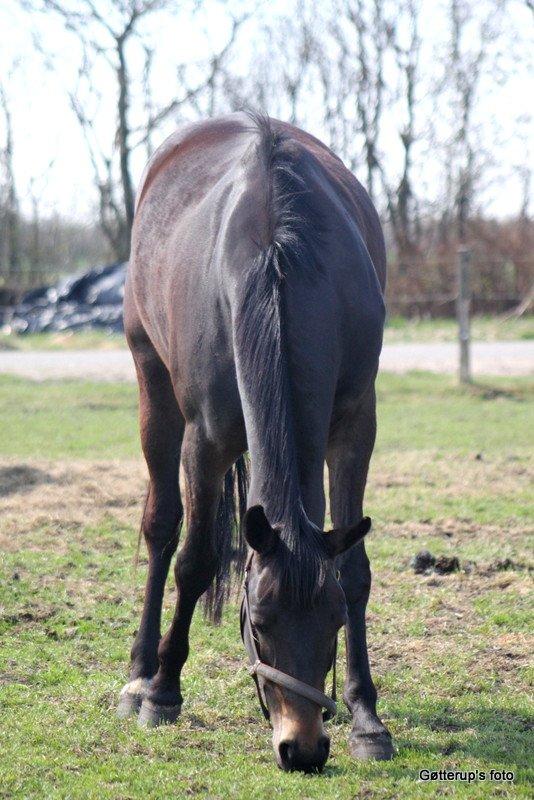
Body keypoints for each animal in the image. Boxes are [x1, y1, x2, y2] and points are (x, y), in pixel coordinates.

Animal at [120, 112, 394, 768]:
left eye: (332, 623)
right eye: (261, 622)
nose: (304, 749)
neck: (277, 263)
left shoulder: (355, 427)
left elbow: (355, 570)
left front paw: (365, 717)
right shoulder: (206, 443)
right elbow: (194, 561)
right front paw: (163, 693)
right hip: (152, 382)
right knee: (162, 527)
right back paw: (140, 673)